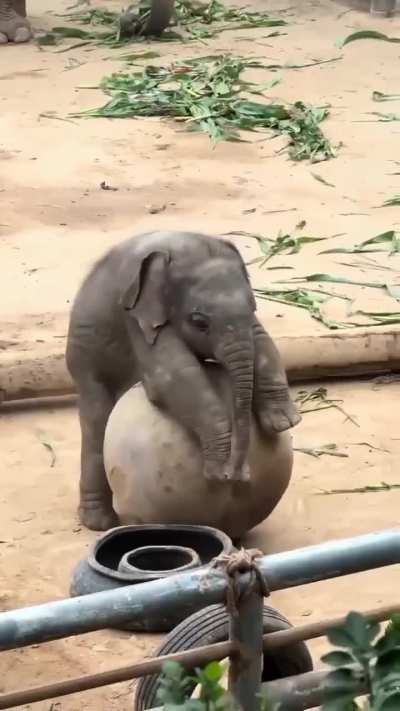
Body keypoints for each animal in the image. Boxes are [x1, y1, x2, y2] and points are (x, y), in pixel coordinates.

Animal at [66, 230, 301, 531]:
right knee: (96, 424)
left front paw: (283, 422)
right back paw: (100, 523)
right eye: (199, 321)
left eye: (253, 306)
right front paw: (218, 469)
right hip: (86, 361)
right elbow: (172, 373)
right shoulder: (136, 313)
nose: (238, 476)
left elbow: (261, 337)